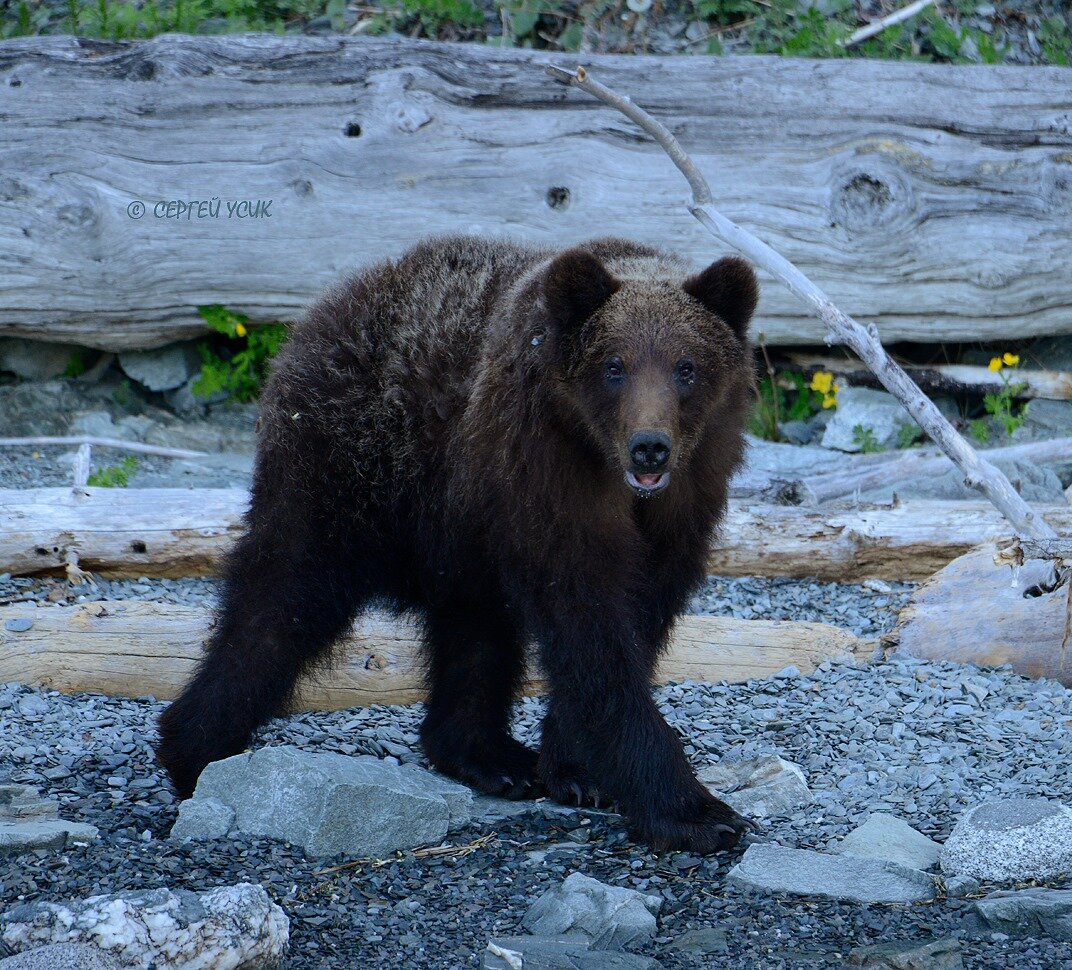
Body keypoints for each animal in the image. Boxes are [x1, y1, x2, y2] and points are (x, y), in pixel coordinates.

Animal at [156, 232, 763, 848]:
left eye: (687, 367)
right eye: (614, 366)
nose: (650, 447)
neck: (610, 470)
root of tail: (328, 304)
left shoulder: (684, 499)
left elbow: (635, 619)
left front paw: (577, 767)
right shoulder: (547, 472)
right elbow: (590, 624)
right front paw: (696, 812)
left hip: (461, 525)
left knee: (474, 628)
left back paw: (491, 756)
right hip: (352, 466)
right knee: (285, 596)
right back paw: (195, 747)